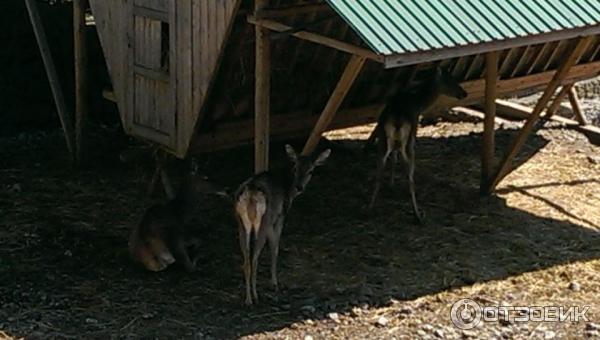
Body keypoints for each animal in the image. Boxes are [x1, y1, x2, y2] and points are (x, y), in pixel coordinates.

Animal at [234, 145, 330, 304]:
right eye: (295, 168)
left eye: (311, 170)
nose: (299, 187)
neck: (288, 190)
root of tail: (251, 195)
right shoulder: (279, 218)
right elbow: (275, 248)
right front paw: (274, 283)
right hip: (264, 222)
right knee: (254, 258)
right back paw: (255, 296)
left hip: (240, 223)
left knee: (246, 261)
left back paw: (248, 298)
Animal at [366, 66, 468, 220]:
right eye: (450, 80)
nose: (464, 93)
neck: (418, 103)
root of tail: (397, 121)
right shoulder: (414, 130)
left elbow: (394, 158)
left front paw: (391, 185)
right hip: (408, 140)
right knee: (410, 176)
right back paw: (417, 214)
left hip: (383, 138)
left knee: (380, 169)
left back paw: (370, 208)